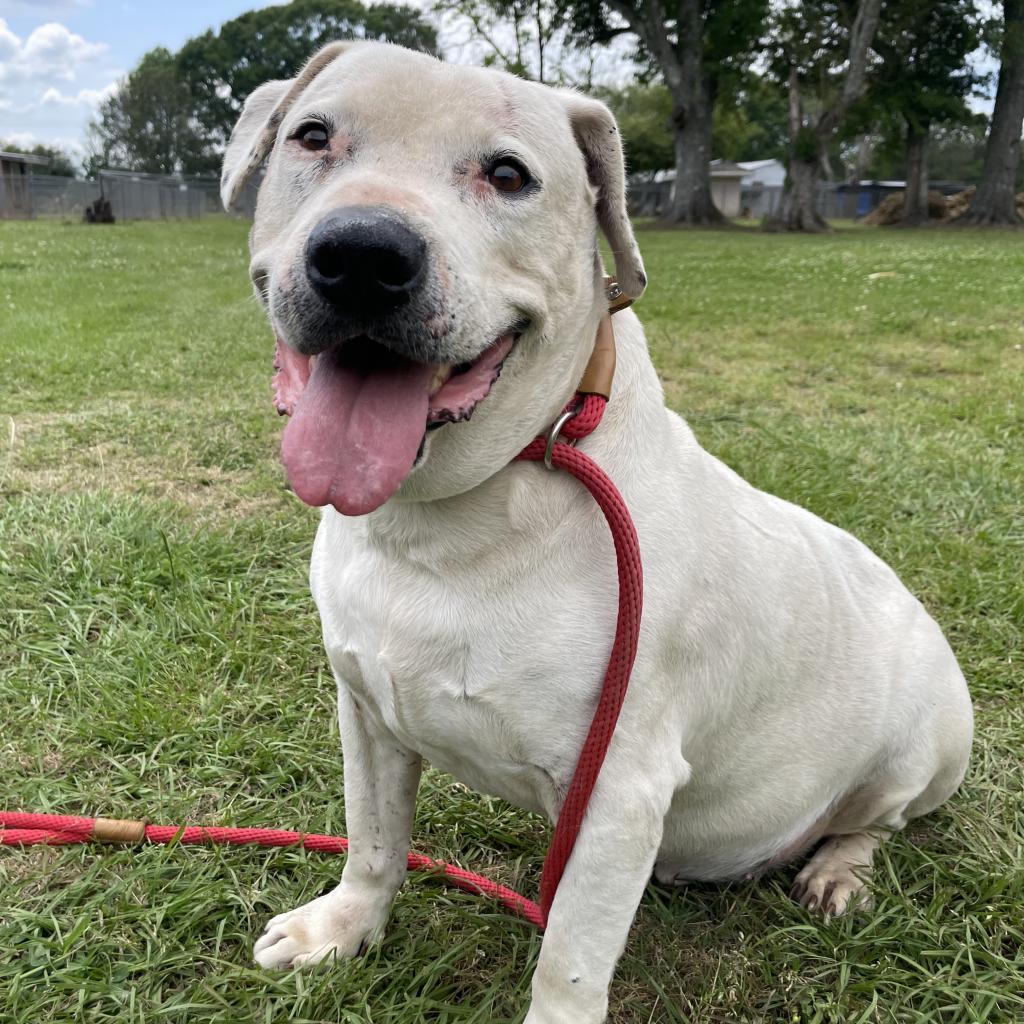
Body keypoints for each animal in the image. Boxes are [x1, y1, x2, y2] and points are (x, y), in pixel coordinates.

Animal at [222, 41, 974, 1024]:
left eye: (509, 175)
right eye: (313, 136)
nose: (361, 254)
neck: (450, 518)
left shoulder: (618, 792)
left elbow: (570, 959)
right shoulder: (367, 714)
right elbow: (374, 839)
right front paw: (342, 929)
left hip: (924, 746)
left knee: (874, 822)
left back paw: (837, 871)